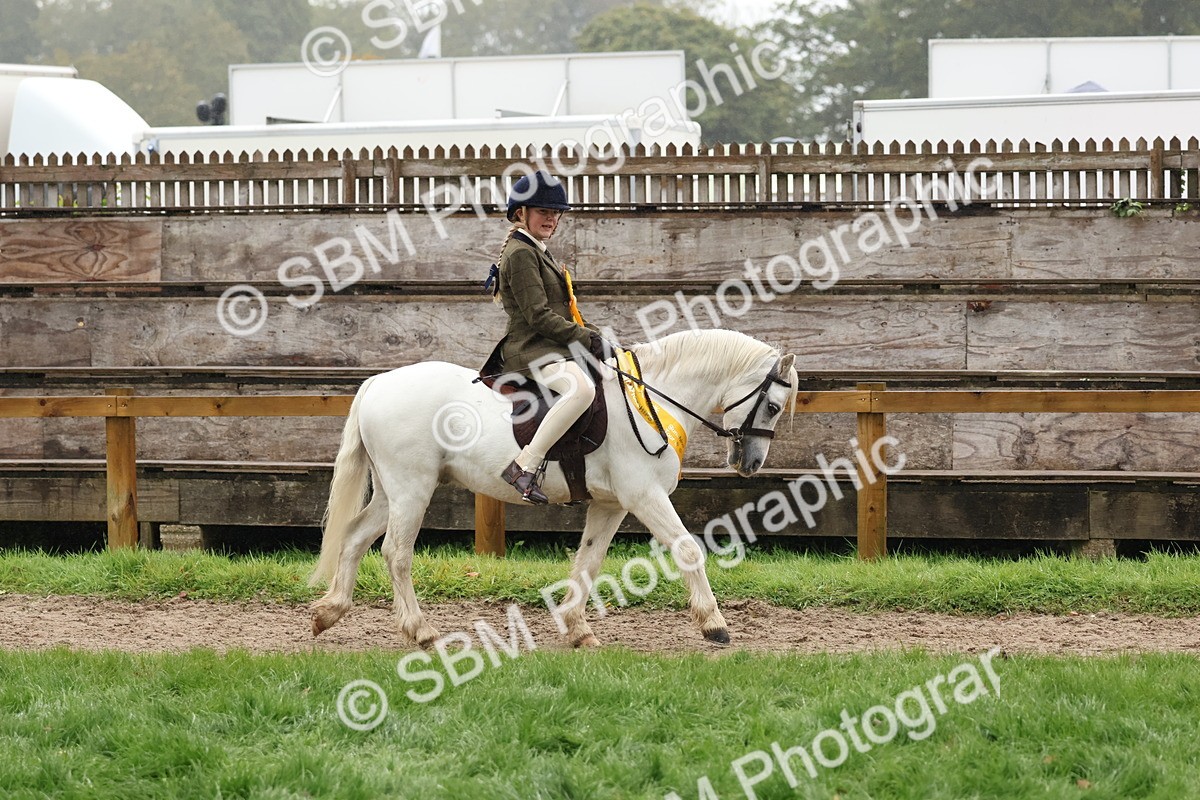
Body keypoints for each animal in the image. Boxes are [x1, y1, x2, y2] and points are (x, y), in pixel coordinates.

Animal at [309, 329, 798, 648]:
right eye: (773, 406)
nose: (751, 464)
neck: (650, 400)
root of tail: (379, 381)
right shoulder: (645, 496)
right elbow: (688, 549)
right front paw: (714, 625)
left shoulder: (612, 505)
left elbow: (589, 561)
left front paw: (578, 628)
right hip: (412, 487)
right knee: (396, 552)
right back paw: (421, 630)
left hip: (392, 491)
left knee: (354, 537)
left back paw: (329, 613)